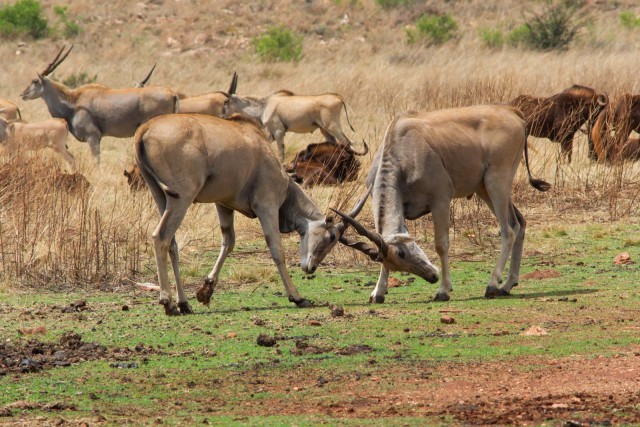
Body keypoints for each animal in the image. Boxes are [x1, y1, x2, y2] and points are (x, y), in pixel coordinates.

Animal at [20, 46, 180, 164]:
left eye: (35, 80)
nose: (22, 94)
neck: (73, 103)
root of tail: (172, 93)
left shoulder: (93, 137)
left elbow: (96, 162)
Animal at [134, 115, 364, 316]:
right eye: (331, 237)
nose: (311, 268)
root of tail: (144, 128)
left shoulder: (223, 204)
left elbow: (228, 242)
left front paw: (206, 291)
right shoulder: (266, 205)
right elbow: (276, 250)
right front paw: (297, 297)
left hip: (161, 196)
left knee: (171, 244)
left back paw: (183, 304)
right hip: (182, 197)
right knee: (161, 237)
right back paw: (168, 303)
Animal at [332, 105, 548, 302]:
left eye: (402, 253)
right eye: (395, 260)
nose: (432, 277)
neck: (402, 149)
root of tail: (513, 112)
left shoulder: (441, 201)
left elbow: (441, 244)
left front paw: (443, 290)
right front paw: (378, 292)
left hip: (496, 183)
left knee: (508, 230)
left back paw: (493, 285)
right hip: (484, 189)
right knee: (519, 223)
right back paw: (508, 284)